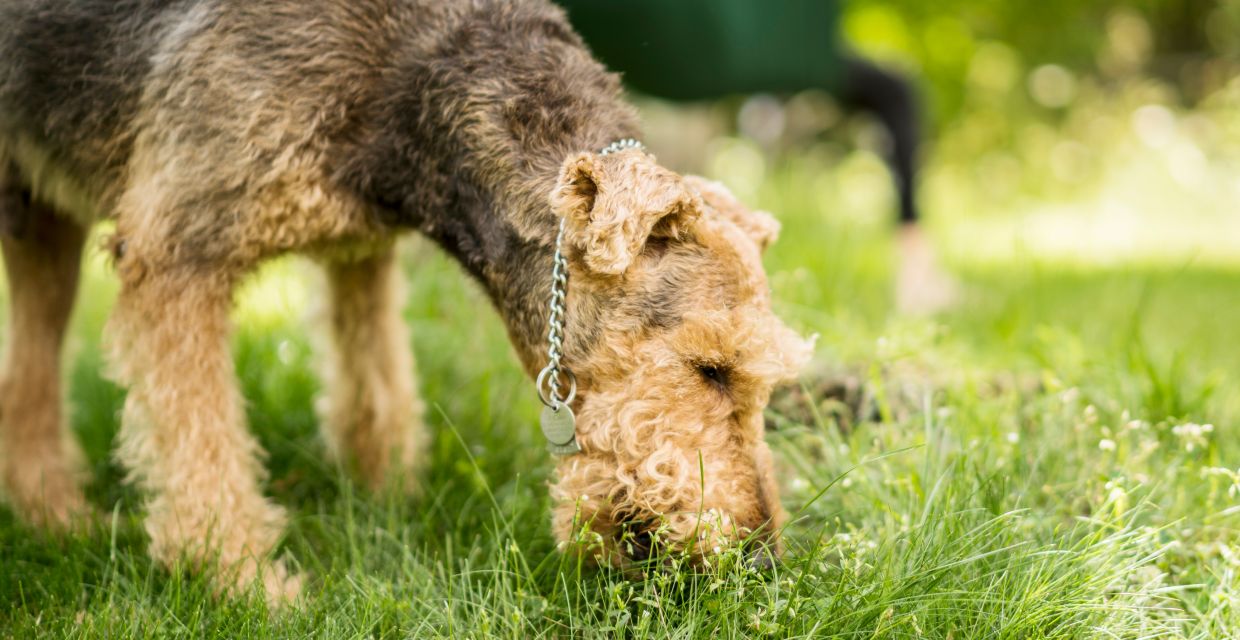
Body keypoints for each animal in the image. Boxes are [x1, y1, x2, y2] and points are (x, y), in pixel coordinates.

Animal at [0, 0, 813, 602]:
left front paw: (386, 497)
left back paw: (50, 516)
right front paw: (244, 583)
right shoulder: (177, 249)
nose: (761, 560)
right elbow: (203, 446)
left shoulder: (360, 249)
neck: (411, 69)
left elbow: (376, 388)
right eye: (710, 368)